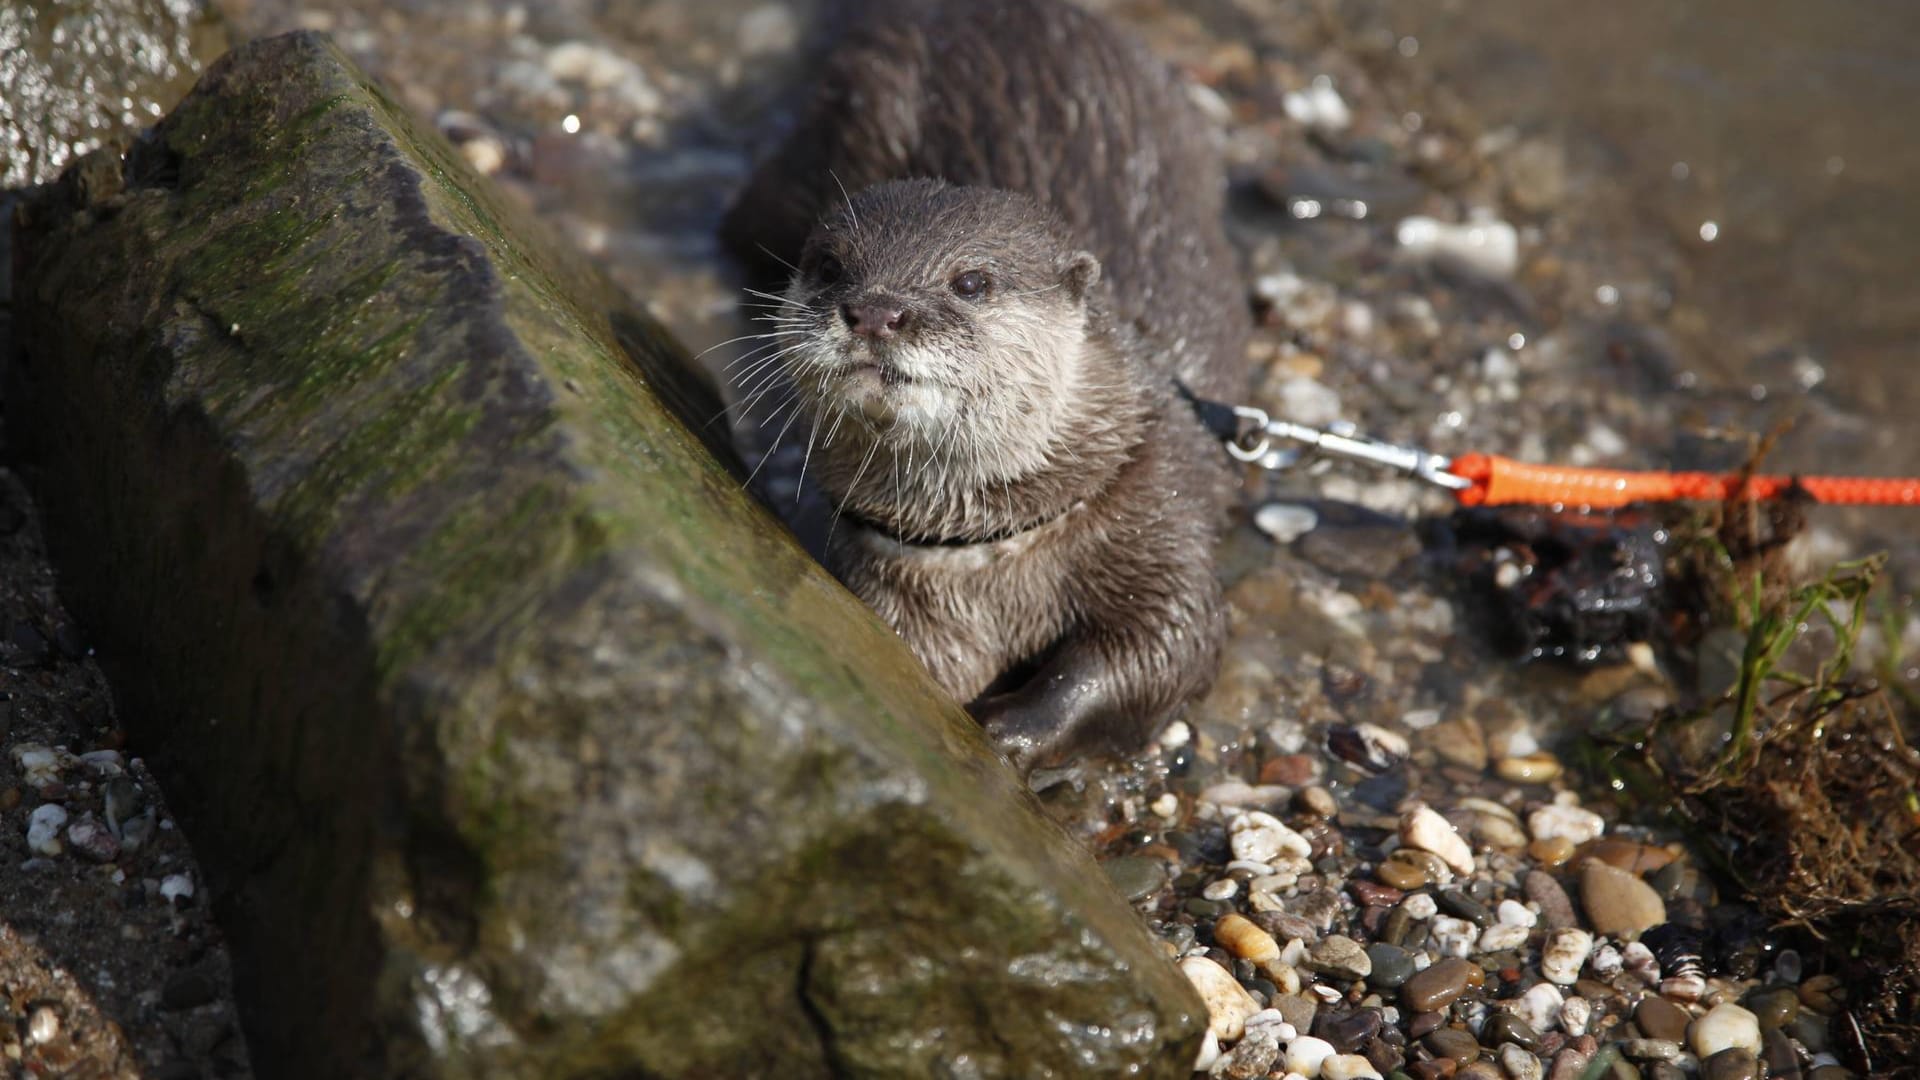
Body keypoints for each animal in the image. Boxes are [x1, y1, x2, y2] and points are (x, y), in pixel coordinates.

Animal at [721, 0, 1244, 764]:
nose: (876, 310)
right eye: (830, 266)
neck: (990, 554)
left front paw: (1017, 728)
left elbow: (1163, 649)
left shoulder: (1161, 515)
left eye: (969, 281)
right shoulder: (890, 581)